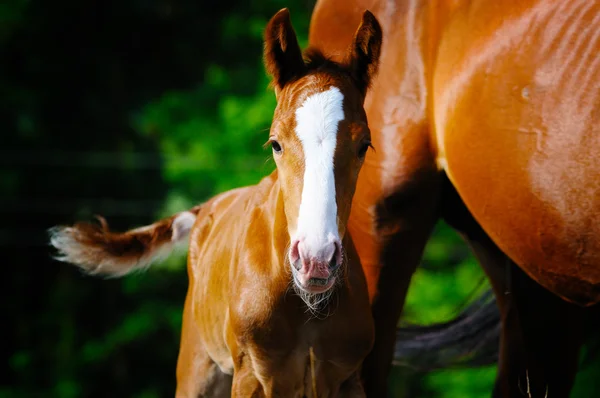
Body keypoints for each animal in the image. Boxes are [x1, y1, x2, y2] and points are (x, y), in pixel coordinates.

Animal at [49, 8, 382, 398]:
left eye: (363, 146)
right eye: (275, 143)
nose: (316, 260)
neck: (305, 309)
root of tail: (204, 211)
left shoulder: (347, 378)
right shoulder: (251, 375)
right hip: (198, 370)